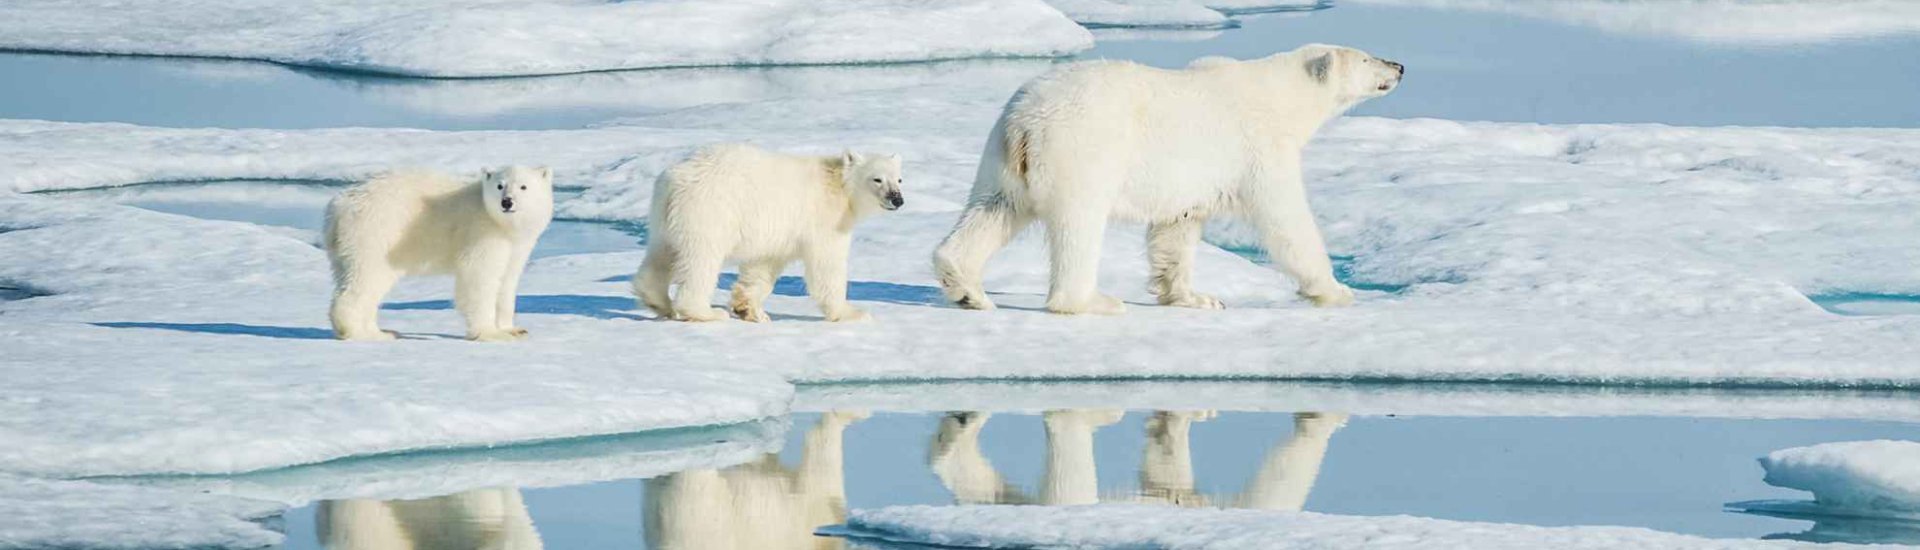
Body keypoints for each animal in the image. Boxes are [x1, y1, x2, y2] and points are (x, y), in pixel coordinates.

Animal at [324, 166, 553, 341]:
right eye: (500, 185)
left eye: (523, 186)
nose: (507, 202)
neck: (502, 224)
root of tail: (338, 207)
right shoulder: (481, 233)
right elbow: (479, 278)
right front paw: (490, 333)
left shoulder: (516, 246)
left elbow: (507, 281)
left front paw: (513, 329)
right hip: (376, 232)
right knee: (365, 279)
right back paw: (360, 333)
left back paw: (382, 331)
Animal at [633, 144, 904, 323]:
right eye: (877, 179)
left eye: (899, 179)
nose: (897, 199)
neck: (839, 185)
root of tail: (675, 180)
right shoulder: (825, 220)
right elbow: (827, 266)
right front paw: (852, 312)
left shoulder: (779, 233)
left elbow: (763, 266)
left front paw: (750, 309)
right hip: (710, 211)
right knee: (701, 260)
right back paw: (705, 312)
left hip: (665, 217)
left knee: (661, 253)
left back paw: (657, 301)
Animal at [932, 44, 1404, 315]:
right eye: (1367, 57)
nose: (1399, 65)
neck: (1280, 96)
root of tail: (1024, 121)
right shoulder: (1258, 148)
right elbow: (1285, 219)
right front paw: (1335, 290)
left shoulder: (1190, 180)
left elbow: (1176, 229)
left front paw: (1196, 298)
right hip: (1081, 149)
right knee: (1078, 224)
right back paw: (1093, 302)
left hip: (1001, 160)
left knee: (993, 210)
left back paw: (967, 289)